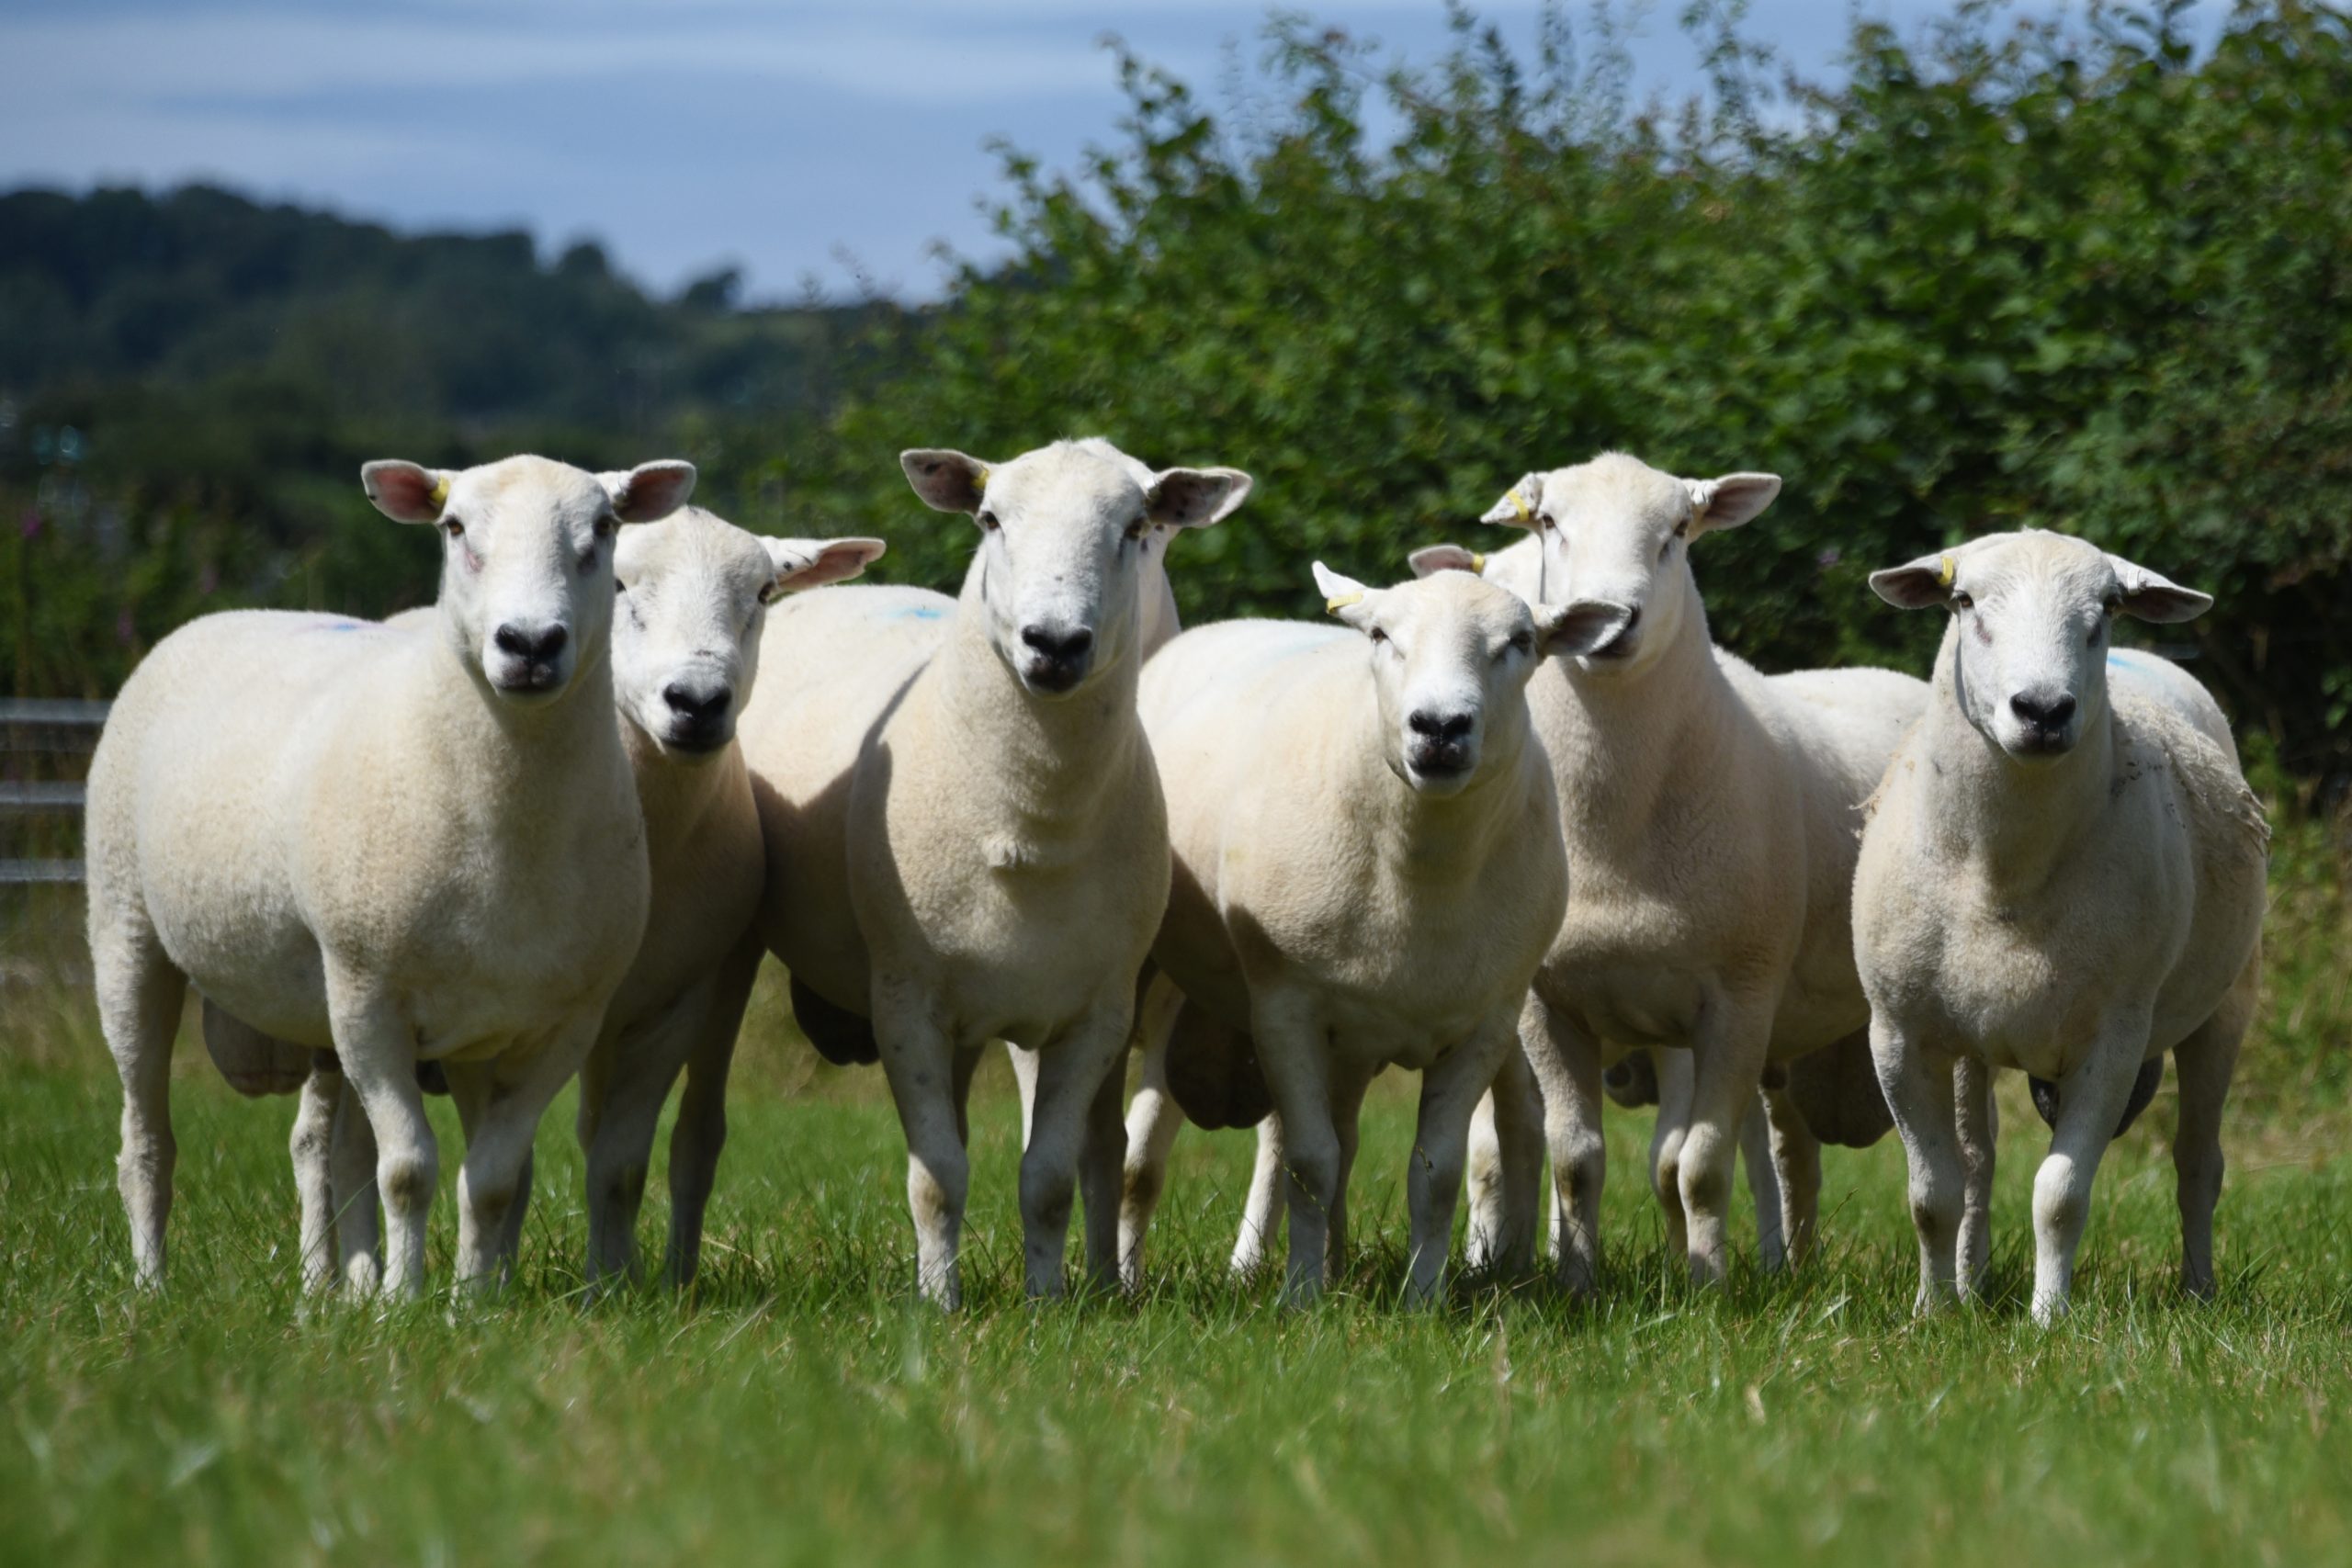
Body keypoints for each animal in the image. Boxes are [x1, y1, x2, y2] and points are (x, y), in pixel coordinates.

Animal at [85, 453, 692, 1296]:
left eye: (604, 528)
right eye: (455, 528)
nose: (530, 642)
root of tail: (226, 615)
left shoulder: (559, 1023)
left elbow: (490, 1180)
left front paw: (469, 1303)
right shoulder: (368, 995)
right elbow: (407, 1168)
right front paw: (405, 1302)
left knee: (325, 1146)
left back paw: (331, 1288)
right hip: (126, 926)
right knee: (145, 1141)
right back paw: (154, 1286)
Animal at [737, 440, 1253, 1306]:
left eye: (1137, 525)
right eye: (990, 519)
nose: (1055, 642)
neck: (1029, 821)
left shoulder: (1095, 1010)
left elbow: (1056, 1171)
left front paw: (1051, 1300)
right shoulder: (904, 998)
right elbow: (937, 1174)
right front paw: (937, 1305)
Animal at [1137, 564, 1618, 1306]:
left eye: (1520, 642)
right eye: (1382, 635)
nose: (1440, 726)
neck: (1420, 877)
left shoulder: (1485, 1021)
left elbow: (1436, 1172)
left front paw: (1422, 1301)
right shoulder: (1285, 1005)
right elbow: (1310, 1162)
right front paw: (1301, 1298)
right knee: (1153, 1146)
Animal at [1451, 452, 1932, 1292]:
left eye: (1679, 529)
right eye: (1550, 523)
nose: (1612, 618)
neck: (1615, 837)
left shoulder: (1740, 996)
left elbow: (1699, 1167)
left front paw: (1707, 1286)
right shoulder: (1547, 1002)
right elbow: (1576, 1161)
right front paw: (1577, 1282)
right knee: (1794, 1155)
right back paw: (1792, 1265)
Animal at [1855, 530, 2267, 1323]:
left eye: (2106, 606)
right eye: (1964, 600)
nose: (2043, 709)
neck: (2005, 875)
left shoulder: (2114, 1035)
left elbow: (2060, 1194)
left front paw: (2049, 1319)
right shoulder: (1898, 1031)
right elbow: (1932, 1193)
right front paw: (1934, 1313)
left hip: (2224, 1008)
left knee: (2199, 1163)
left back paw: (2199, 1290)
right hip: (1970, 1030)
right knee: (1978, 1162)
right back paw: (1973, 1282)